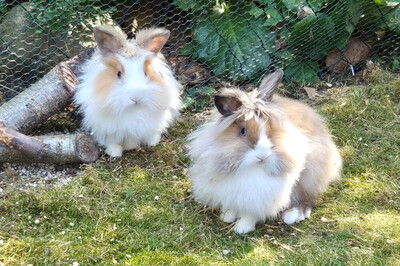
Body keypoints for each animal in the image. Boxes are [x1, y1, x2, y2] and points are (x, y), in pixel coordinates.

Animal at [74, 25, 181, 156]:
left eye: (146, 73)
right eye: (119, 74)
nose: (136, 97)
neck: (133, 110)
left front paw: (153, 142)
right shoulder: (108, 130)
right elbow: (112, 142)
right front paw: (114, 153)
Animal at [187, 69, 340, 234]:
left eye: (271, 128)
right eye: (243, 131)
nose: (263, 156)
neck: (251, 168)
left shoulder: (261, 195)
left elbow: (251, 213)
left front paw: (242, 228)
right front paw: (227, 216)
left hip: (310, 176)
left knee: (310, 199)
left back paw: (292, 215)